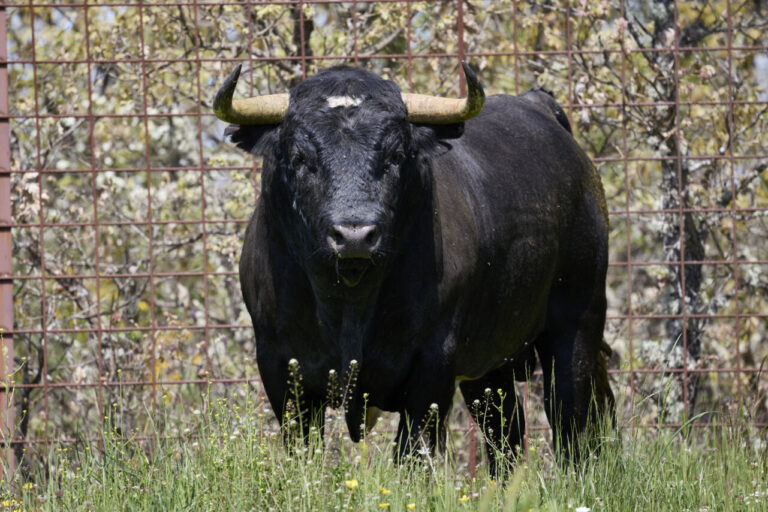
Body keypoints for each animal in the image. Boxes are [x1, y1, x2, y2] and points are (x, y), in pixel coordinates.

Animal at [214, 63, 614, 476]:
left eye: (394, 155)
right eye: (300, 157)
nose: (354, 235)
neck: (348, 304)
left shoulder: (433, 365)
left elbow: (412, 454)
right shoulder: (278, 364)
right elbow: (301, 448)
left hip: (578, 320)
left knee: (571, 418)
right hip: (489, 365)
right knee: (505, 432)